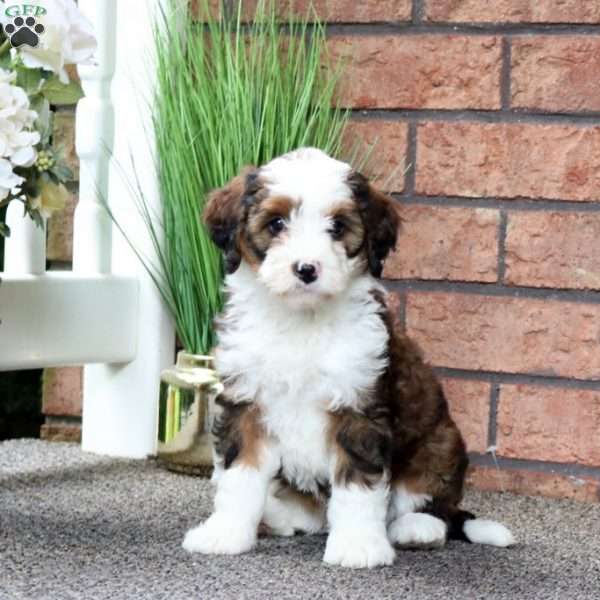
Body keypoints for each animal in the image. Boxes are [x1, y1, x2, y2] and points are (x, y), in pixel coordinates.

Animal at [183, 148, 516, 568]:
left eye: (338, 227)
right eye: (276, 223)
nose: (306, 269)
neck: (302, 322)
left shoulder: (359, 409)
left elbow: (359, 487)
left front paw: (359, 546)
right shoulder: (247, 401)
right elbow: (238, 475)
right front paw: (224, 534)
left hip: (439, 444)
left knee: (434, 504)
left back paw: (417, 528)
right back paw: (281, 515)